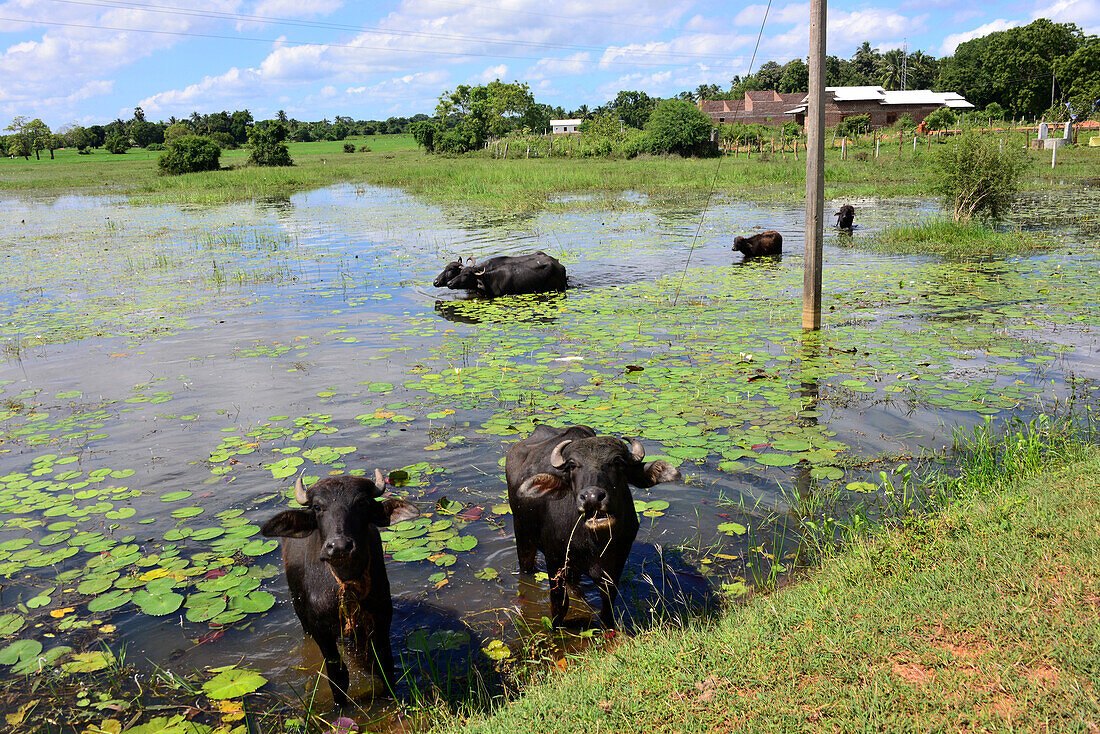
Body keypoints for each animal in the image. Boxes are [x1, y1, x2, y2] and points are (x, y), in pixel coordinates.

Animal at [261, 470, 420, 704]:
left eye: (361, 502)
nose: (339, 547)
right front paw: (340, 705)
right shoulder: (321, 630)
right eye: (317, 507)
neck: (347, 581)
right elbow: (338, 674)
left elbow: (384, 664)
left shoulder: (382, 618)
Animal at [506, 424, 677, 625]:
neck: (594, 543)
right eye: (572, 465)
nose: (592, 497)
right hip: (522, 536)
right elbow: (559, 607)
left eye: (617, 461)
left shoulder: (616, 566)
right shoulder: (555, 561)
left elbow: (607, 608)